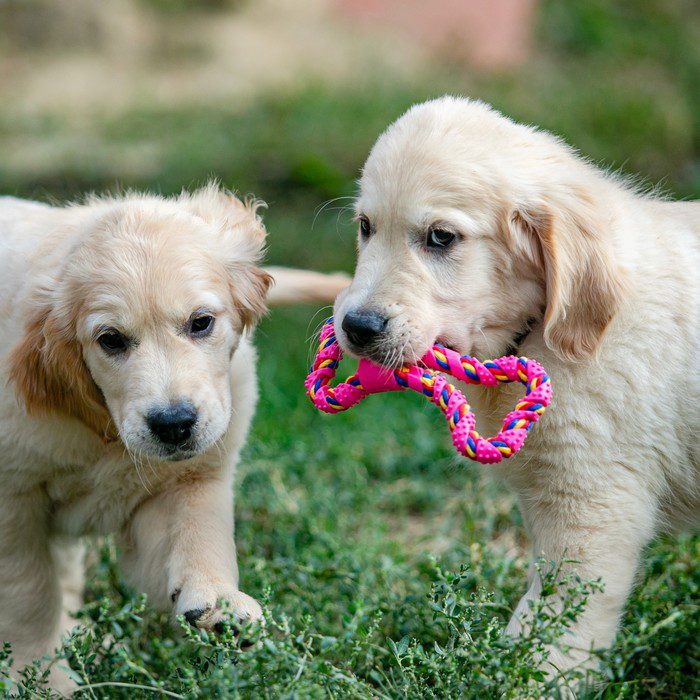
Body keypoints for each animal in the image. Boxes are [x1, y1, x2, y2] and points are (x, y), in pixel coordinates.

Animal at [0, 183, 348, 692]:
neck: (104, 429)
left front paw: (219, 604)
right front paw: (40, 678)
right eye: (110, 340)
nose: (174, 424)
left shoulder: (189, 479)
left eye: (201, 322)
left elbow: (197, 535)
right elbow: (28, 595)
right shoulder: (13, 503)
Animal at [334, 97, 700, 672]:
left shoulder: (594, 503)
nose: (356, 326)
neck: (540, 330)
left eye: (441, 238)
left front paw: (531, 674)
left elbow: (564, 611)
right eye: (366, 227)